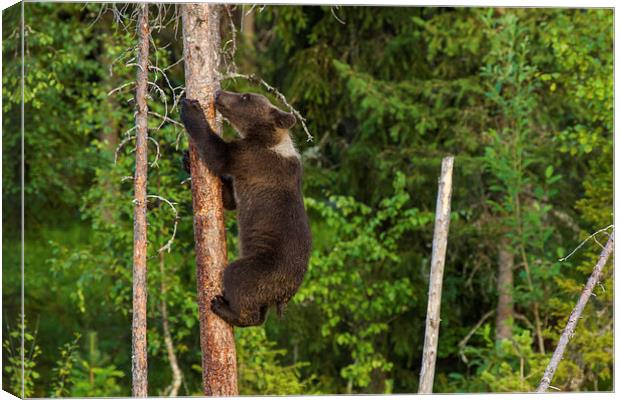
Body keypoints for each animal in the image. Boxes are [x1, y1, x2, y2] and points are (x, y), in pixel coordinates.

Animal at [182, 91, 312, 328]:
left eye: (245, 97)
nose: (219, 93)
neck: (268, 139)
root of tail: (286, 295)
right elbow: (229, 198)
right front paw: (186, 158)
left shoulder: (252, 158)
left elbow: (218, 154)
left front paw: (191, 108)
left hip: (266, 269)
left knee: (238, 277)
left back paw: (223, 307)